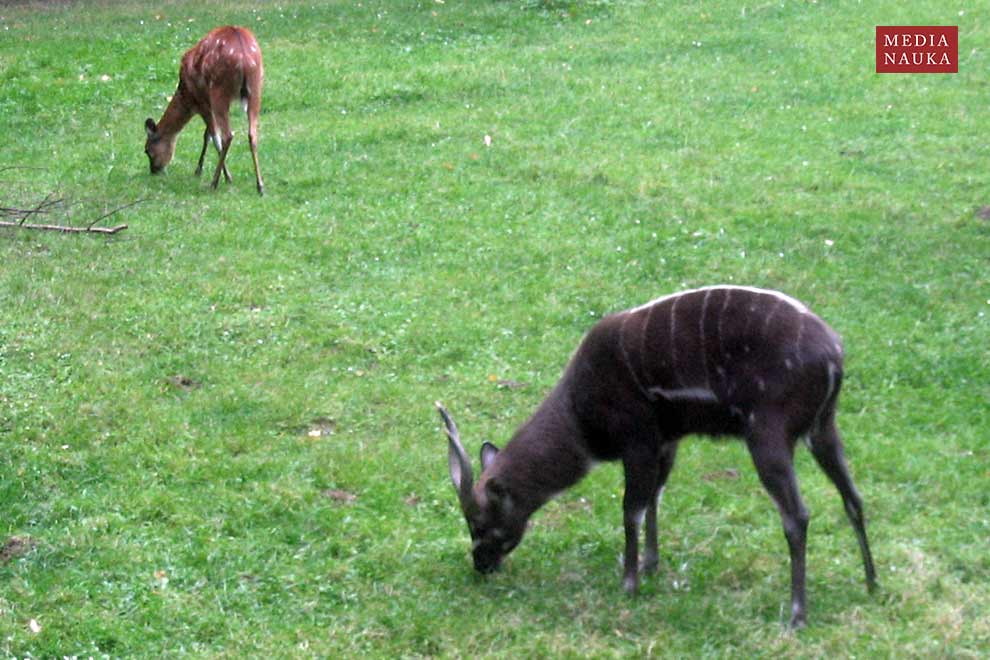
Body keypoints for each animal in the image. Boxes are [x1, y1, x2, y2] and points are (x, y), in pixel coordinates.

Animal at [144, 26, 266, 196]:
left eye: (147, 150)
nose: (154, 170)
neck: (186, 95)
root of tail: (245, 59)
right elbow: (207, 135)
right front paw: (198, 170)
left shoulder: (202, 101)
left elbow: (213, 137)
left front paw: (227, 177)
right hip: (256, 87)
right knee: (252, 134)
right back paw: (260, 186)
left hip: (219, 90)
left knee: (227, 135)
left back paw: (214, 182)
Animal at [438, 286, 880, 628]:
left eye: (479, 522)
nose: (480, 564)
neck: (581, 414)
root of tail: (834, 356)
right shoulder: (666, 441)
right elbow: (656, 496)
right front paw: (651, 565)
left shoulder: (638, 440)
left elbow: (631, 508)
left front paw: (628, 583)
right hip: (822, 428)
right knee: (853, 497)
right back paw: (872, 584)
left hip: (768, 433)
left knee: (797, 515)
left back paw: (796, 615)